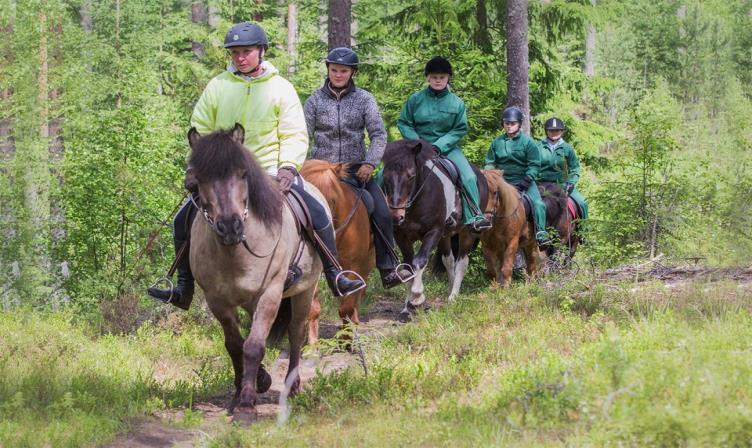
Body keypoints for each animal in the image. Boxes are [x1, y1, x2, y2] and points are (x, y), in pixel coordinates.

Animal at [188, 124, 324, 422]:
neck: (236, 254)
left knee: (296, 332)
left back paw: (292, 386)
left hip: (305, 291)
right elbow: (235, 344)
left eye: (242, 173)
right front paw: (243, 391)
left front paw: (247, 405)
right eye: (199, 177)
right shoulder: (217, 301)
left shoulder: (270, 293)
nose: (230, 226)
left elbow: (253, 346)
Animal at [296, 160, 374, 344]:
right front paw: (312, 345)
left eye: (332, 201)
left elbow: (346, 307)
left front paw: (346, 341)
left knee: (357, 295)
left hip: (368, 262)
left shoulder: (354, 266)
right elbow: (313, 308)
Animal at [382, 138, 488, 320]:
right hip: (445, 236)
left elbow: (419, 261)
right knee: (449, 260)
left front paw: (417, 298)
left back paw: (453, 297)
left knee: (461, 262)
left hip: (466, 233)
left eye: (411, 176)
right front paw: (406, 307)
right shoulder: (402, 236)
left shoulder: (433, 232)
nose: (396, 216)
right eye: (385, 176)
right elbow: (409, 266)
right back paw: (450, 289)